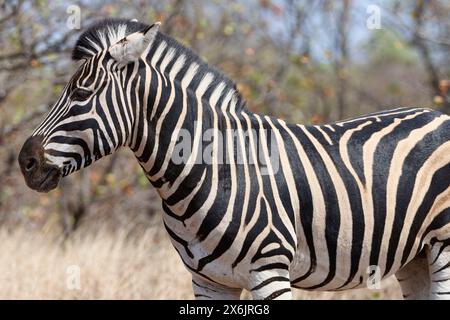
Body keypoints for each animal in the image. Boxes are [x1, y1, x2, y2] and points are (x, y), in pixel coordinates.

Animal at [19, 18, 450, 300]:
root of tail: (437, 114)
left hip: (443, 247)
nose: (25, 161)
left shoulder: (270, 273)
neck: (212, 170)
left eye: (81, 94)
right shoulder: (209, 280)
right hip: (414, 257)